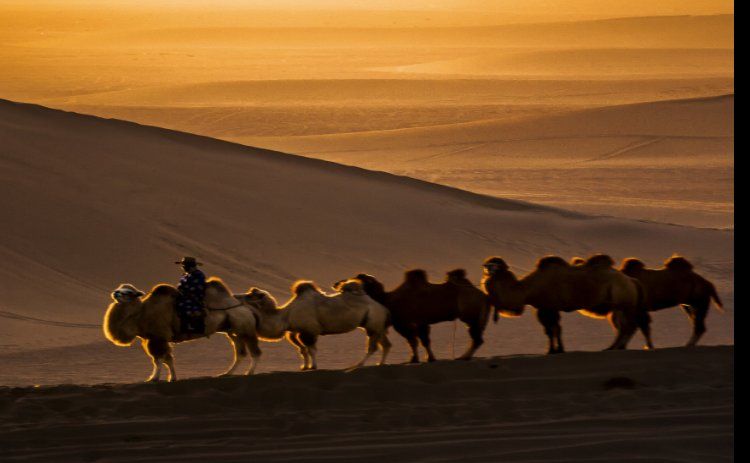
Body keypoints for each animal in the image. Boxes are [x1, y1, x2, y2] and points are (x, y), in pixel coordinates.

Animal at [103, 280, 262, 384]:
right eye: (119, 288)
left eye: (129, 292)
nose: (115, 293)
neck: (141, 314)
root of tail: (245, 307)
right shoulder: (153, 339)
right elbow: (165, 359)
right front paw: (170, 378)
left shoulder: (158, 337)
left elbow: (160, 360)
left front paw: (155, 378)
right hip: (233, 332)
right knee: (240, 353)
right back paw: (227, 374)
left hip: (245, 329)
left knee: (255, 352)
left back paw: (249, 373)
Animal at [239, 278, 394, 372]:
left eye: (250, 295)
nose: (236, 296)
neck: (285, 316)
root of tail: (383, 308)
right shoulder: (297, 331)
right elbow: (303, 349)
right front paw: (304, 366)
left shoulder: (310, 330)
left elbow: (311, 349)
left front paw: (313, 366)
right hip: (374, 324)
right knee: (385, 344)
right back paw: (380, 364)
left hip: (373, 322)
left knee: (373, 346)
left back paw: (358, 365)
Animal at [352, 270, 494, 364]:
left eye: (365, 280)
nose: (359, 275)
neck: (388, 300)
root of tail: (485, 297)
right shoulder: (418, 323)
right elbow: (420, 341)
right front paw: (423, 359)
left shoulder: (405, 323)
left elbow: (416, 341)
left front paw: (419, 359)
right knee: (477, 337)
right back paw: (464, 357)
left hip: (471, 315)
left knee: (477, 338)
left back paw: (463, 357)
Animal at [482, 256, 652, 354]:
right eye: (488, 266)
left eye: (495, 266)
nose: (487, 271)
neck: (526, 290)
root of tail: (633, 282)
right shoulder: (546, 308)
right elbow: (555, 329)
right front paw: (558, 349)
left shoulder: (548, 307)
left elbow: (552, 329)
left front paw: (553, 350)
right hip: (619, 307)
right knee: (625, 326)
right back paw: (611, 348)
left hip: (625, 304)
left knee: (629, 326)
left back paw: (615, 348)